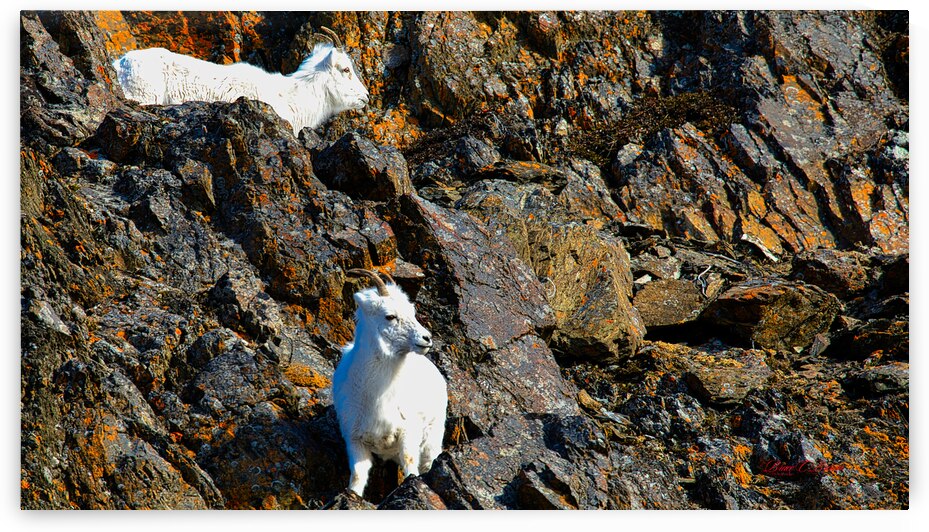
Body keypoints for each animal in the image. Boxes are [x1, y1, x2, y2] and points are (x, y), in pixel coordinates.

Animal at [331, 268, 448, 497]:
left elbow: (410, 465)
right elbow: (358, 476)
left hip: (432, 437)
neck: (377, 395)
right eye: (390, 316)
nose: (426, 338)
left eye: (412, 312)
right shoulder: (355, 441)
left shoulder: (408, 434)